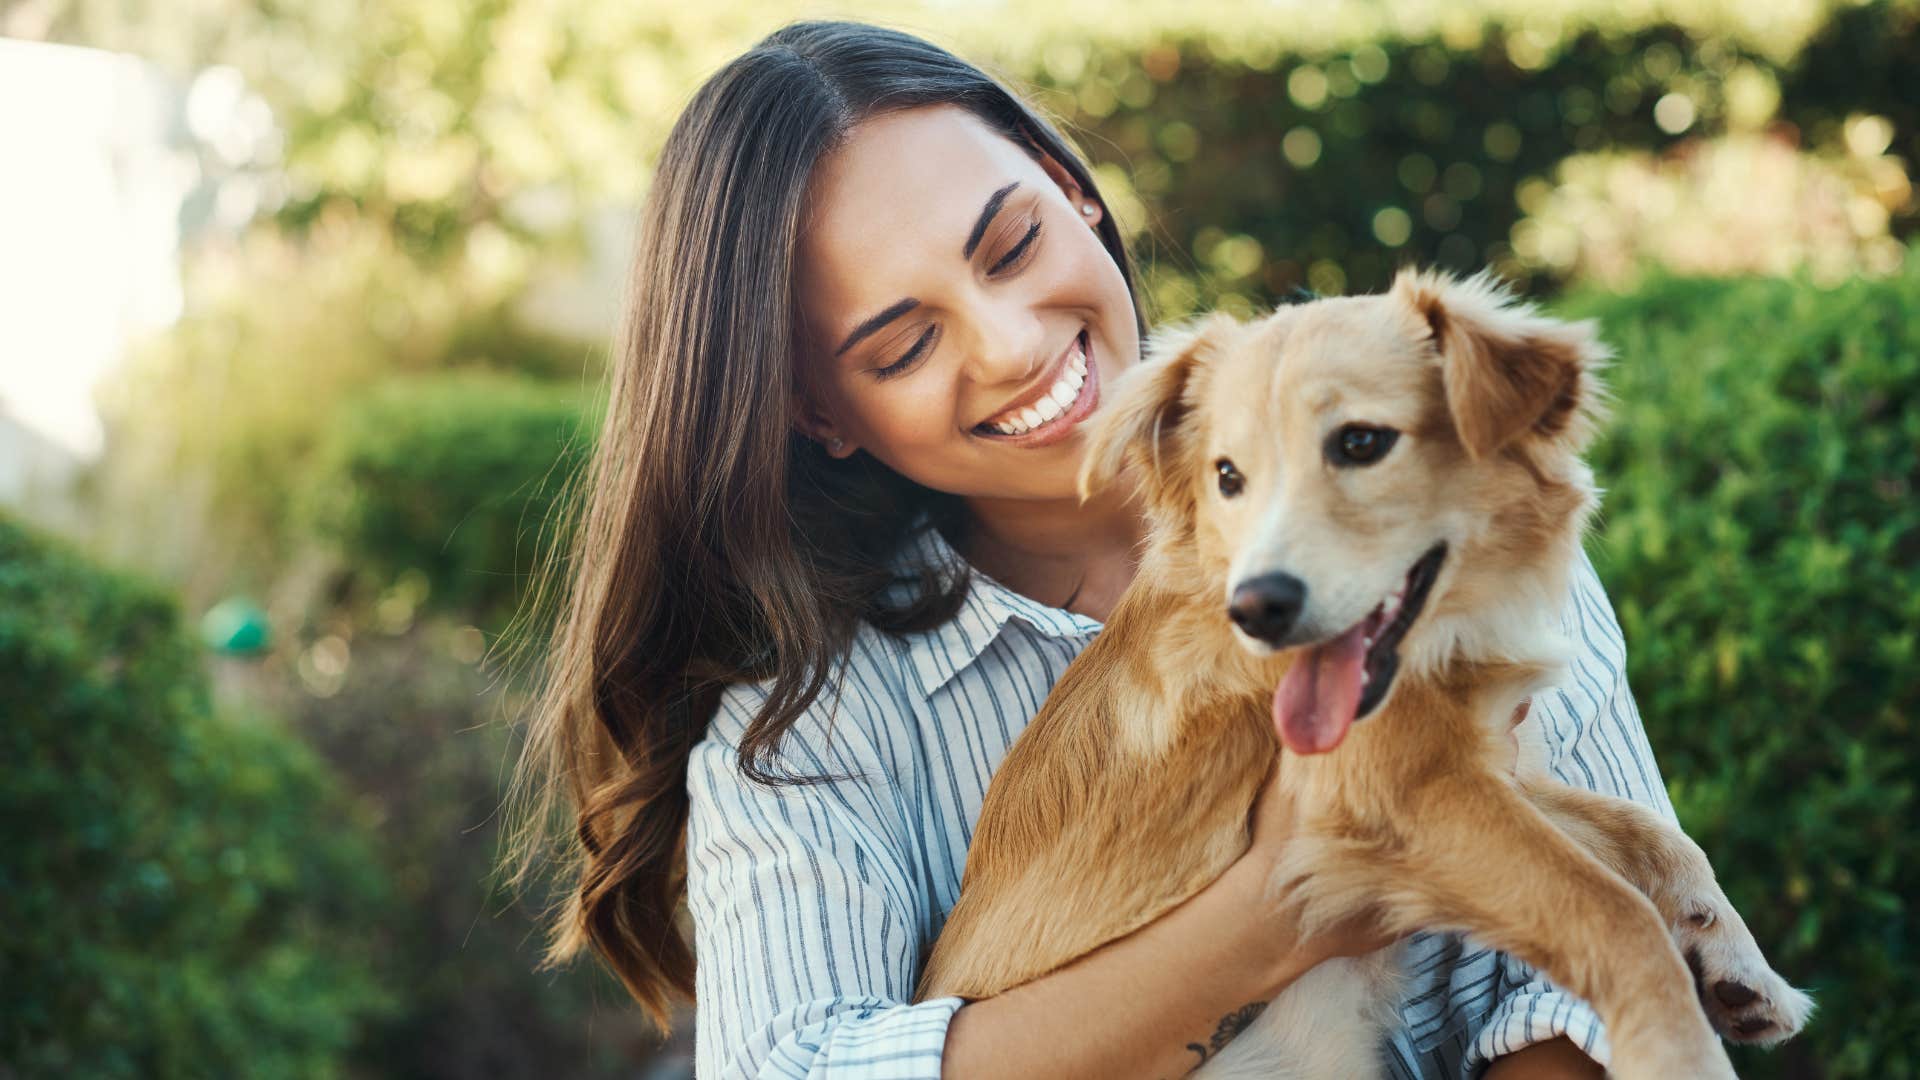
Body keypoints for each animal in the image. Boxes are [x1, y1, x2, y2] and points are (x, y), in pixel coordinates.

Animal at [921, 265, 1804, 1068]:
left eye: (1361, 442)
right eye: (1227, 476)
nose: (1257, 609)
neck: (1444, 633)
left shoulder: (1483, 770)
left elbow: (1650, 833)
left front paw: (1738, 965)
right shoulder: (1400, 796)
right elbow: (1612, 910)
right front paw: (1676, 1048)